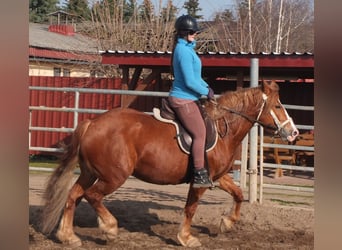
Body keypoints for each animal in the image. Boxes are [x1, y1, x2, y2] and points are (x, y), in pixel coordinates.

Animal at [39, 79, 296, 246]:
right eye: (277, 106)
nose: (293, 133)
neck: (224, 128)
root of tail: (92, 123)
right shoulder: (200, 181)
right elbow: (191, 208)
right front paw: (187, 238)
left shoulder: (218, 177)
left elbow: (239, 194)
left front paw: (227, 223)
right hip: (113, 177)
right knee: (92, 196)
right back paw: (110, 228)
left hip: (90, 173)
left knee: (73, 195)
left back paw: (68, 236)